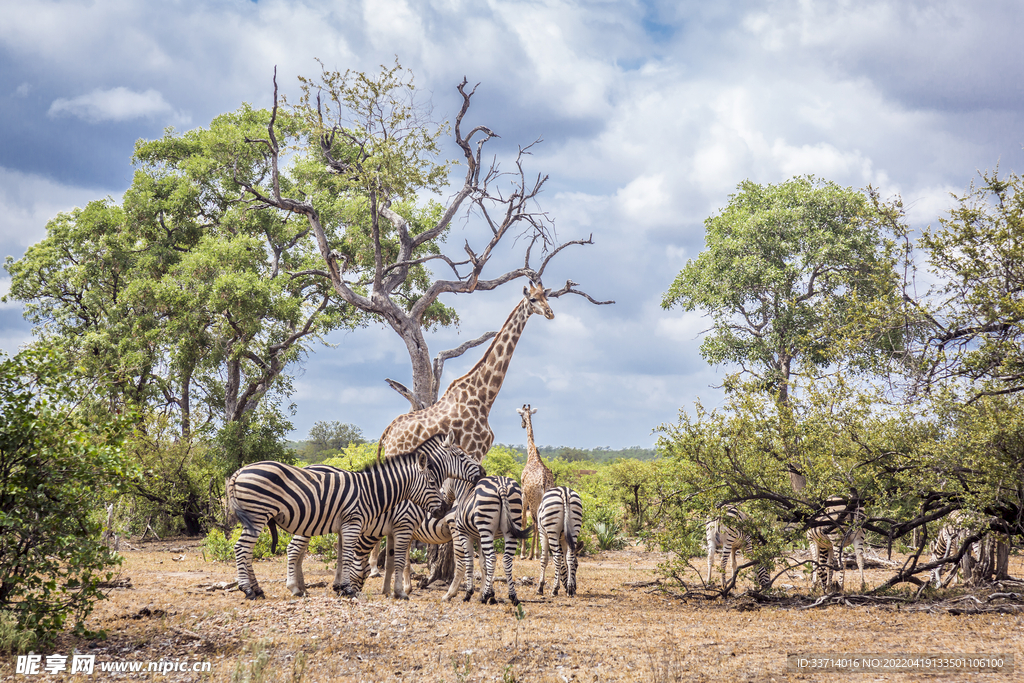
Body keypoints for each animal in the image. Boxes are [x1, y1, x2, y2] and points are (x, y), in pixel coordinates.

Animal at [226, 432, 481, 598]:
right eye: (461, 455)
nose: (482, 471)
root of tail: (239, 471)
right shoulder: (401, 524)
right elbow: (395, 560)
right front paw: (398, 591)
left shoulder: (386, 528)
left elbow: (386, 561)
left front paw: (385, 590)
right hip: (266, 516)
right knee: (254, 549)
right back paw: (261, 589)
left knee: (260, 550)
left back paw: (277, 588)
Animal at [376, 278, 552, 464]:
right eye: (533, 299)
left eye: (546, 297)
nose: (550, 313)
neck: (484, 398)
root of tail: (387, 434)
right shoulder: (473, 449)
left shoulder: (479, 452)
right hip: (396, 455)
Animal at [516, 403, 557, 557]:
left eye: (520, 414)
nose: (522, 424)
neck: (532, 454)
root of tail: (544, 481)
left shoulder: (523, 493)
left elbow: (523, 520)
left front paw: (524, 553)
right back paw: (548, 552)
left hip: (534, 500)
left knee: (535, 522)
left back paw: (536, 553)